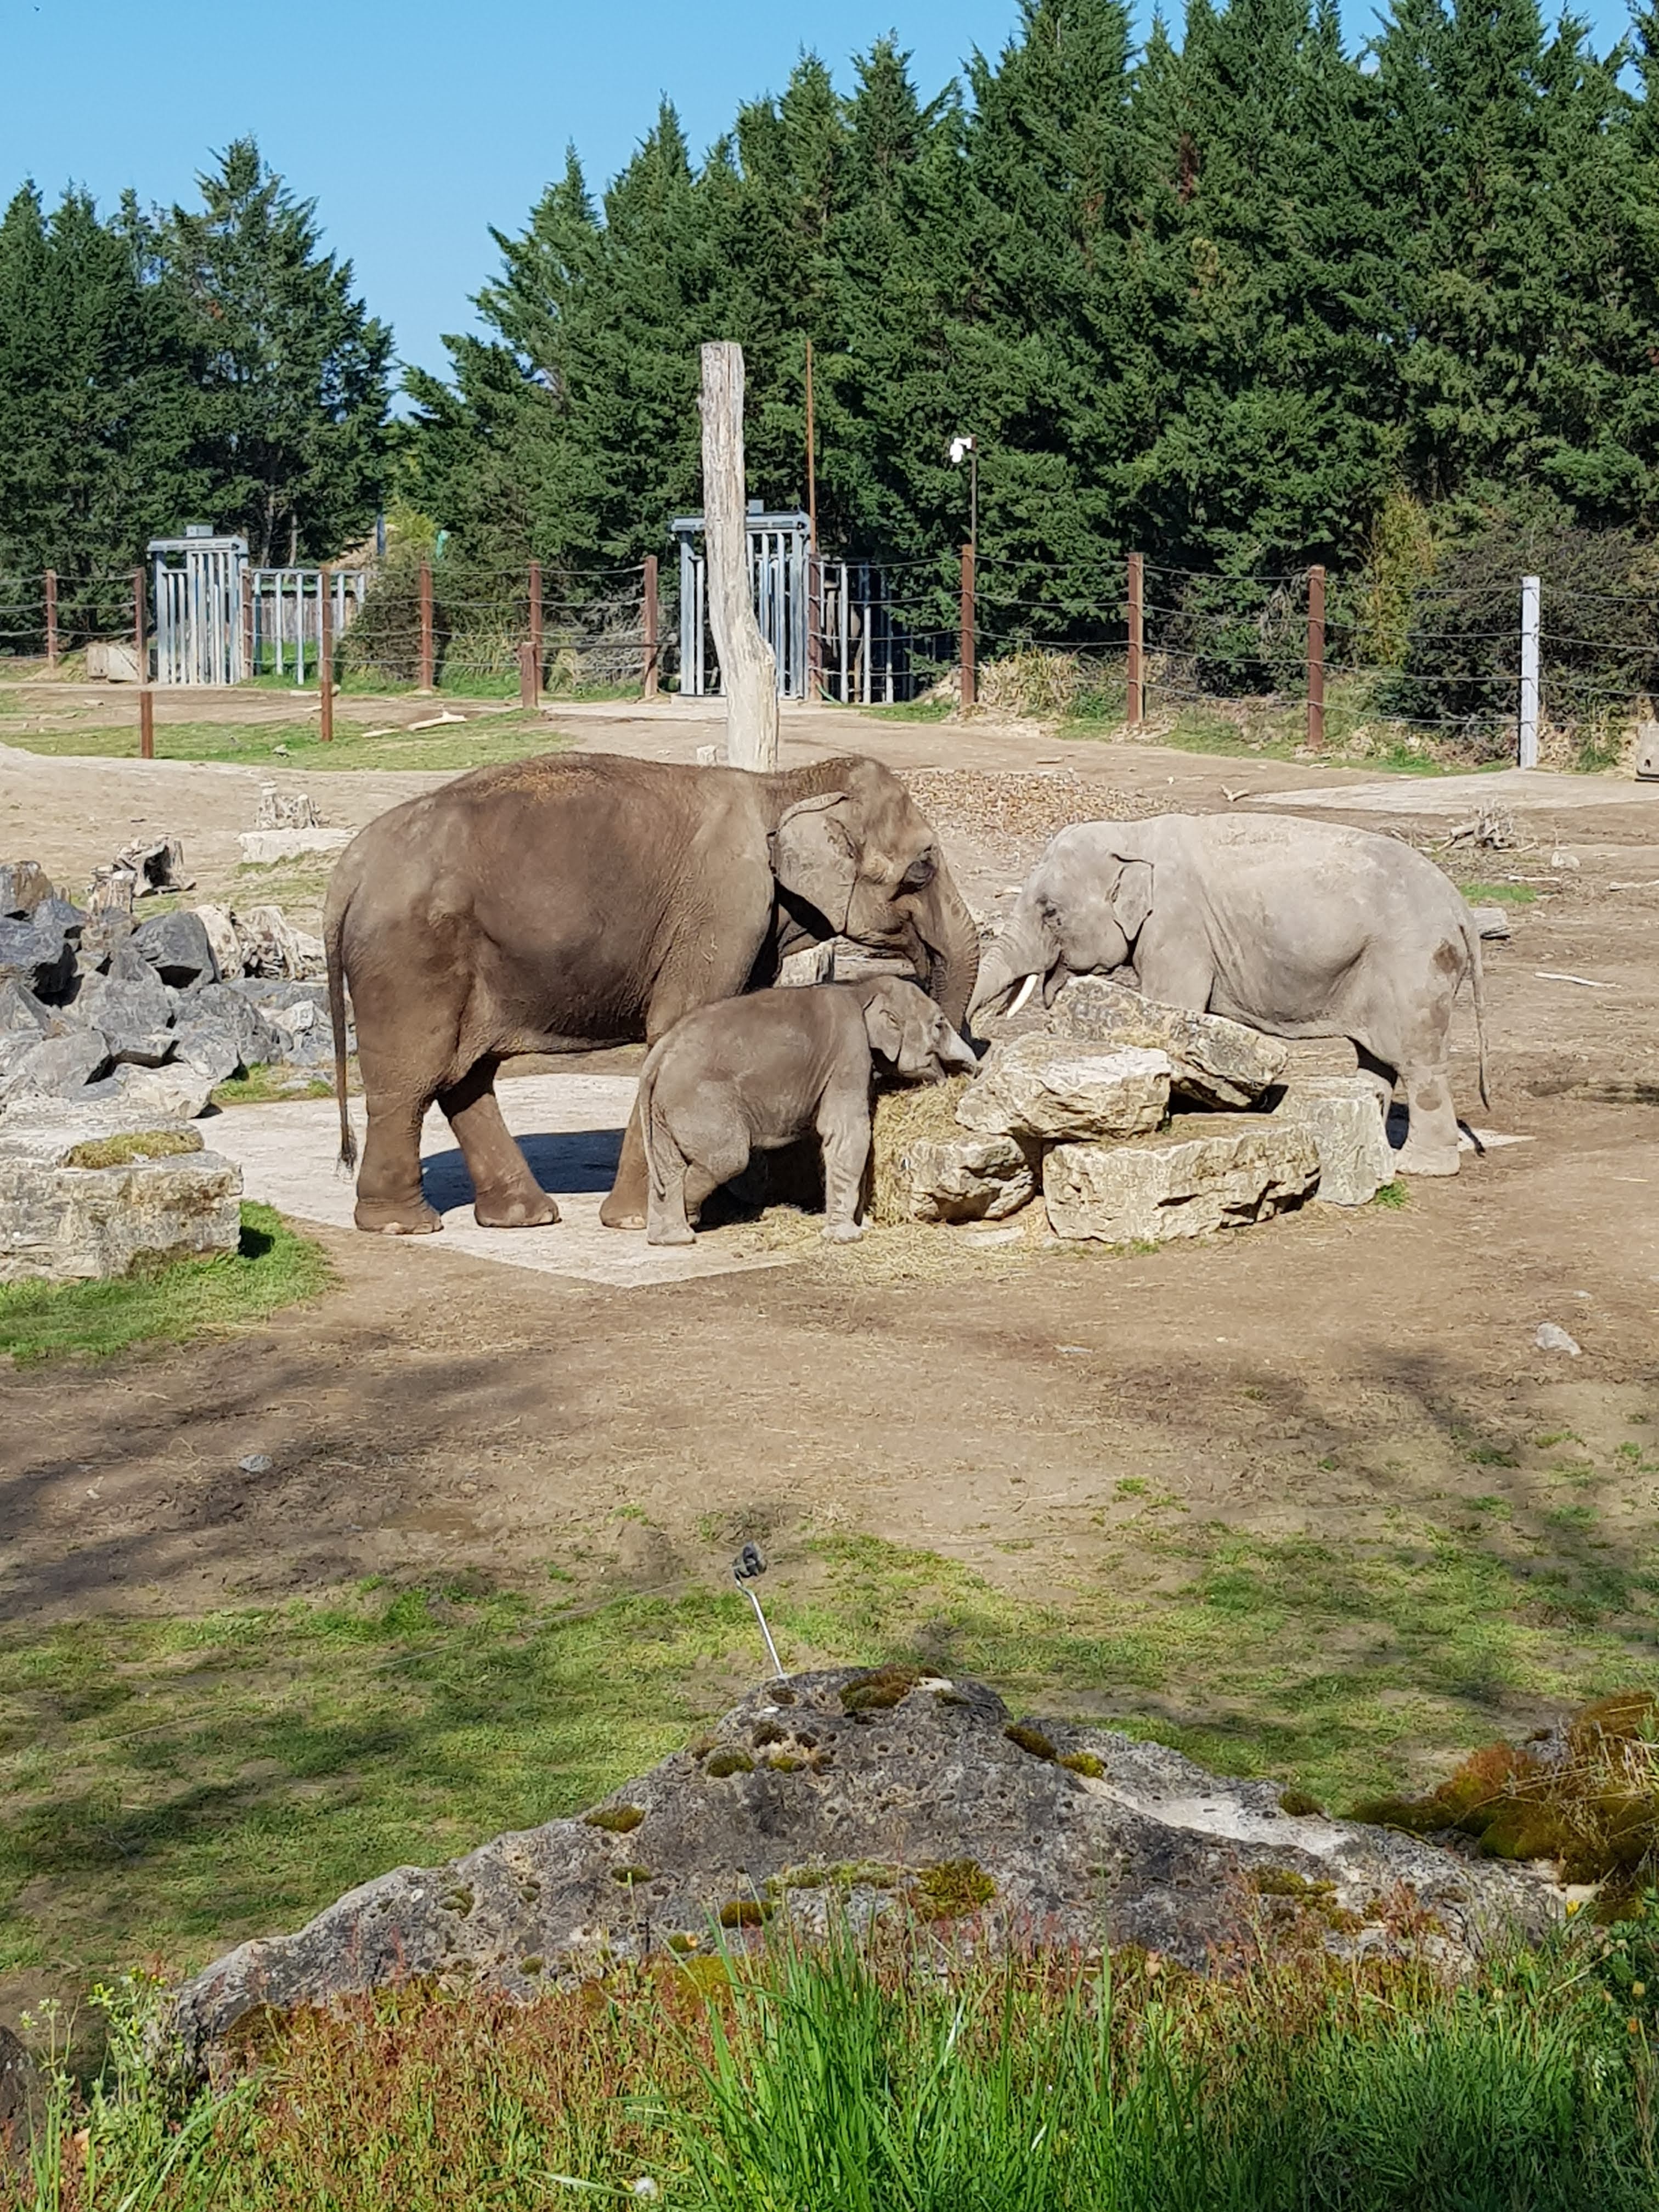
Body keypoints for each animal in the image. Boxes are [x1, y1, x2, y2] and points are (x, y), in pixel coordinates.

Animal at [639, 976, 978, 1246]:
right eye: (940, 1025)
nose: (967, 1073)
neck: (861, 988)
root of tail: (658, 1055)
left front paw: (859, 1225)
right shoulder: (849, 1050)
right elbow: (847, 1131)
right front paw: (848, 1237)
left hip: (665, 1108)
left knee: (669, 1165)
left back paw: (671, 1239)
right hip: (700, 1103)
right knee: (727, 1159)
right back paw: (690, 1218)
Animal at [969, 813, 1489, 1175]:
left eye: (1050, 912)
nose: (979, 1045)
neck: (1132, 836)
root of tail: (1461, 906)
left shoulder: (1177, 929)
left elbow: (1171, 1005)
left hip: (1413, 964)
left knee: (1418, 1061)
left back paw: (1418, 1167)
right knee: (1375, 1058)